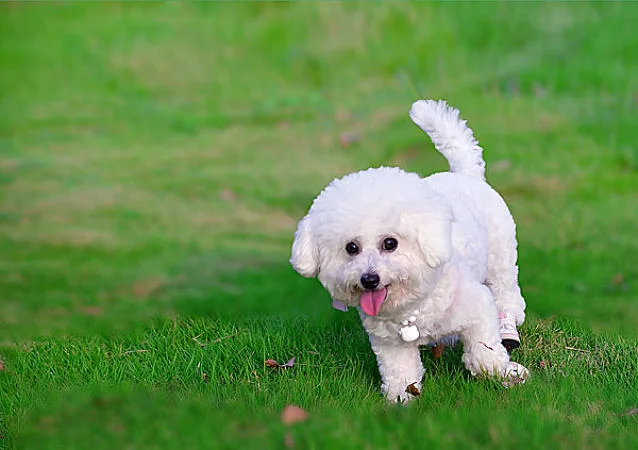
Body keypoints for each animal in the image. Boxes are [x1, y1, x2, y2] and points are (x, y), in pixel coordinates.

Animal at [292, 98, 528, 400]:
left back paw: (509, 320)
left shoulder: (479, 309)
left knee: (506, 290)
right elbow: (400, 372)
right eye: (351, 248)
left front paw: (502, 372)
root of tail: (465, 175)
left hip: (501, 257)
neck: (411, 309)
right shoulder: (389, 343)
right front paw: (400, 398)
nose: (369, 279)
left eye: (390, 243)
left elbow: (484, 350)